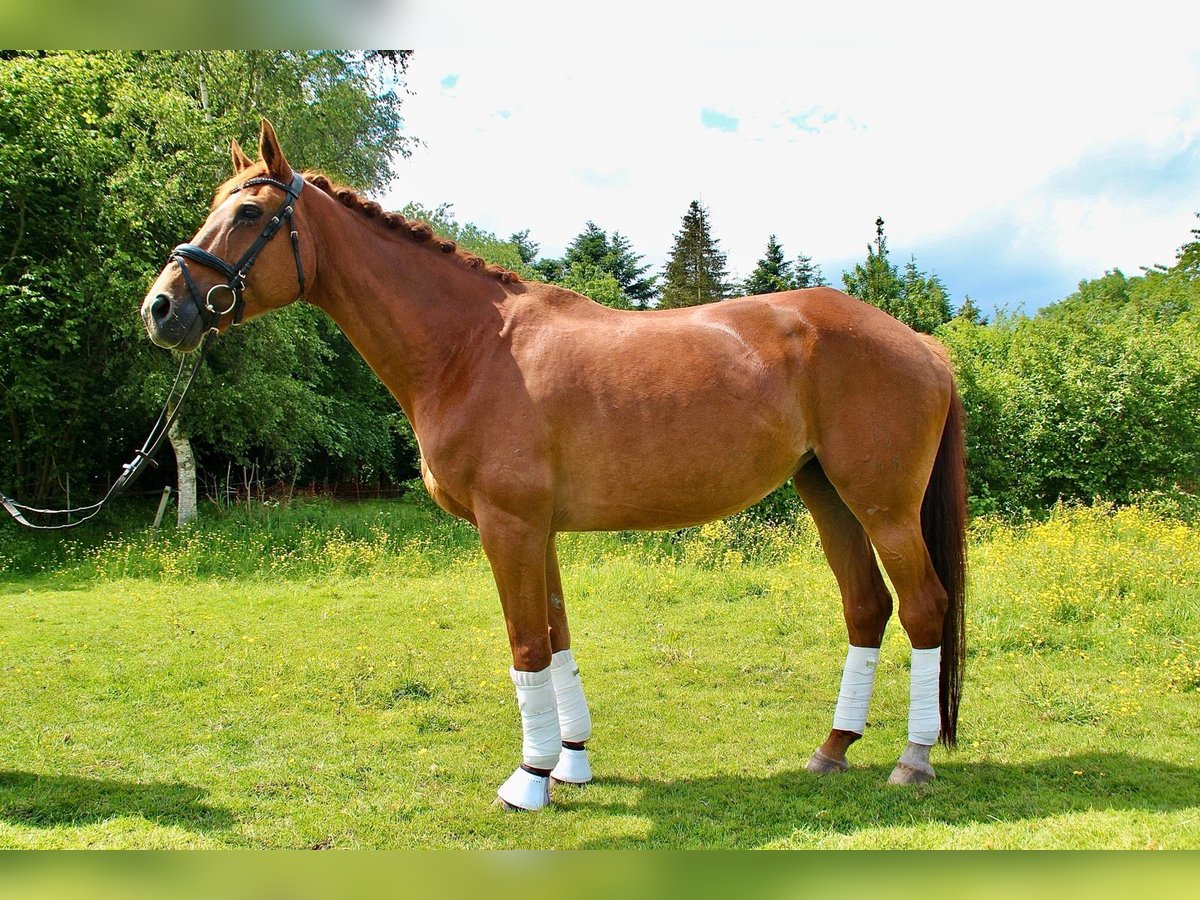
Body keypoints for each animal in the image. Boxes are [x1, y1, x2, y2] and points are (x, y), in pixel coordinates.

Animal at [140, 120, 964, 816]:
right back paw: (833, 750)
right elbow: (559, 638)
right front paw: (570, 761)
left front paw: (529, 779)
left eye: (249, 214)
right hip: (828, 495)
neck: (471, 348)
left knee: (924, 607)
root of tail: (921, 342)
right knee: (866, 607)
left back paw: (913, 759)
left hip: (884, 507)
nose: (160, 308)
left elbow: (527, 645)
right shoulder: (540, 532)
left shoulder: (508, 526)